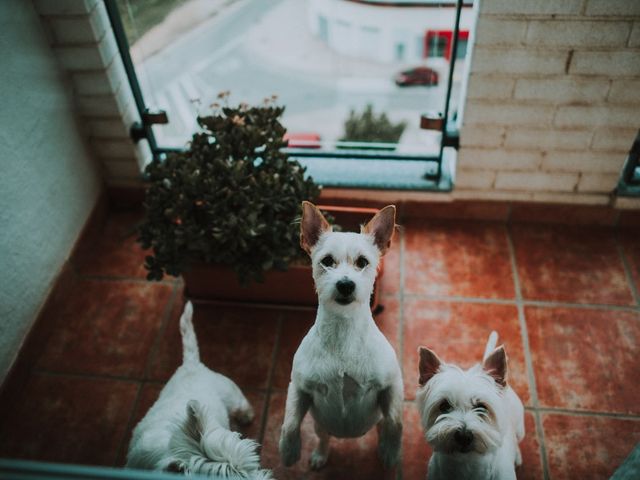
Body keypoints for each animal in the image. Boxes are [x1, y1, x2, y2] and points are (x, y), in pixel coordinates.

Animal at [278, 202, 402, 468]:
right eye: (326, 261)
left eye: (363, 262)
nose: (345, 284)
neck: (344, 331)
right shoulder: (299, 387)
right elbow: (290, 422)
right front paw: (289, 450)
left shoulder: (392, 385)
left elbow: (395, 423)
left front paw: (391, 451)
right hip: (319, 425)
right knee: (323, 438)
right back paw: (319, 454)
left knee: (384, 427)